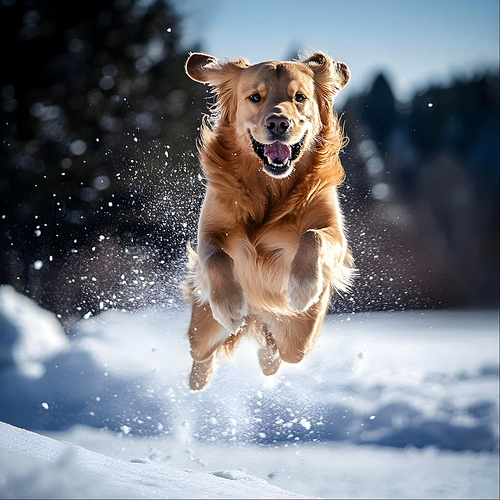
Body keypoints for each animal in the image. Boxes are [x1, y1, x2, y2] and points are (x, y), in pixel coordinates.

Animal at [182, 50, 354, 388]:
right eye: (255, 97)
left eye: (300, 97)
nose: (278, 123)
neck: (271, 187)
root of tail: (258, 313)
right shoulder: (210, 231)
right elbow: (215, 257)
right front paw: (230, 305)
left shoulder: (334, 232)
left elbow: (313, 236)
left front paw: (303, 286)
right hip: (202, 329)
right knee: (200, 353)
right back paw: (201, 375)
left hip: (299, 335)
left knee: (280, 350)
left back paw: (267, 356)